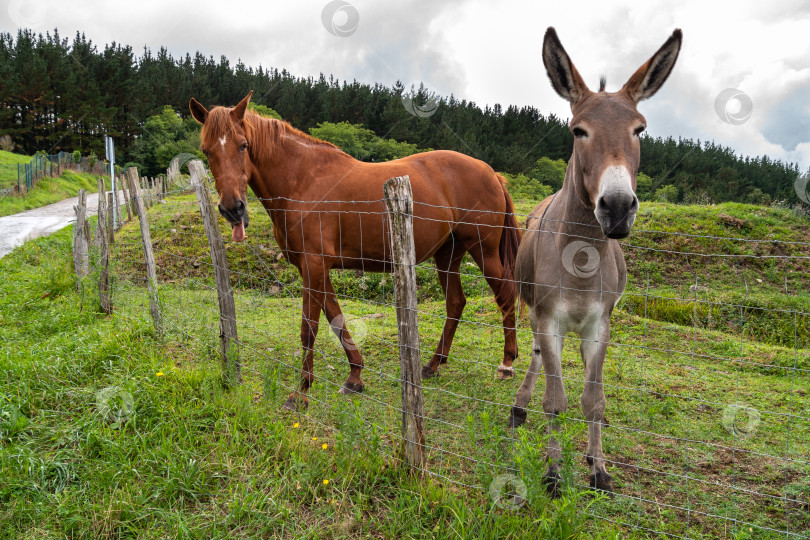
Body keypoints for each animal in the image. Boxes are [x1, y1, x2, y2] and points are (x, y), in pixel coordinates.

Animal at [187, 95, 520, 412]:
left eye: (243, 145)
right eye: (207, 151)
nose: (232, 208)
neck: (302, 181)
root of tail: (492, 173)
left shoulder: (314, 265)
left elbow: (309, 329)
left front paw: (300, 394)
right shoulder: (314, 268)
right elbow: (336, 319)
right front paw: (355, 377)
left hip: (484, 251)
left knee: (506, 294)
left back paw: (506, 363)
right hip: (448, 255)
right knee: (455, 303)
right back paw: (434, 364)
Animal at [508, 28, 680, 494]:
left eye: (640, 130)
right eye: (578, 131)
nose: (617, 207)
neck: (582, 259)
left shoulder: (600, 324)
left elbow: (594, 399)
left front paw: (598, 468)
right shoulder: (549, 319)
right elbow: (556, 400)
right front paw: (553, 472)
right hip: (536, 314)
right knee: (536, 358)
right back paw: (518, 408)